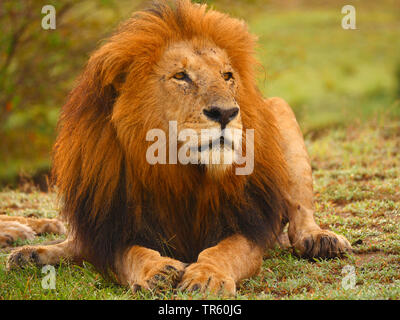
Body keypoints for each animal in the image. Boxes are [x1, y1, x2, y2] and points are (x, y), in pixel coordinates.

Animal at [7, 0, 350, 296]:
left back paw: (320, 240)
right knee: (78, 245)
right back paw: (28, 254)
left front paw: (207, 276)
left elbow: (223, 251)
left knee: (300, 214)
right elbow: (132, 254)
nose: (226, 112)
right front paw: (157, 271)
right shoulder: (114, 226)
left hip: (280, 111)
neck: (177, 170)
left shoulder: (248, 223)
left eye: (227, 76)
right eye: (181, 76)